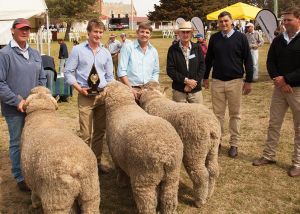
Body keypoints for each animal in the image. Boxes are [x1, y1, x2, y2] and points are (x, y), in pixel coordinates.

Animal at [21, 86, 101, 214]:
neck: (42, 112)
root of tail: (78, 166)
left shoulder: (32, 178)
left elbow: (34, 192)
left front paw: (34, 203)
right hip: (91, 191)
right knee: (91, 206)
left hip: (57, 199)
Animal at [104, 80, 183, 214]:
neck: (123, 106)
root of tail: (165, 155)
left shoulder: (114, 155)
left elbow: (120, 170)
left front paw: (121, 183)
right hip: (172, 176)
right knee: (169, 200)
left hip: (144, 179)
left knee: (148, 206)